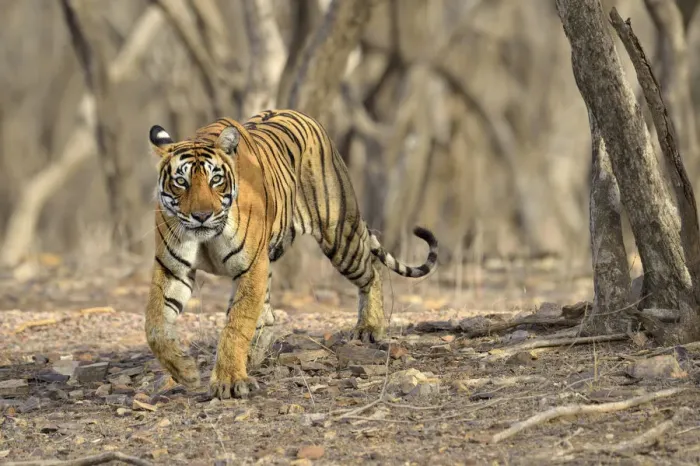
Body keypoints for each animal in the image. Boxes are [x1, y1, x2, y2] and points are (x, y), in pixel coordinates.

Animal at [145, 109, 438, 399]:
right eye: (181, 182)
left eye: (215, 179)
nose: (202, 216)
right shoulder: (173, 268)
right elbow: (155, 326)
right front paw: (185, 371)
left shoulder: (251, 266)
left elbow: (236, 324)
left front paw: (229, 380)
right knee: (268, 316)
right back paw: (253, 356)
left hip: (339, 236)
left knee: (371, 271)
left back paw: (369, 328)